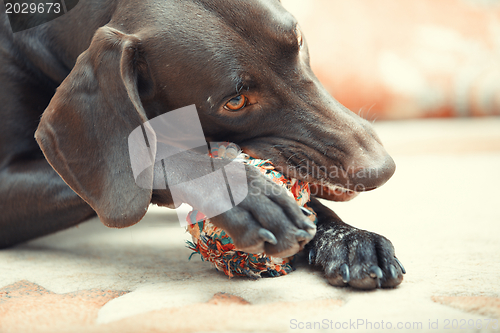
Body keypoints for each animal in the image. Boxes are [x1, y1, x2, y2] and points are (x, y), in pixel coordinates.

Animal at [0, 0, 404, 288]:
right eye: (235, 102)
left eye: (299, 41)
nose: (381, 169)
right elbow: (158, 155)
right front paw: (249, 196)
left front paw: (347, 237)